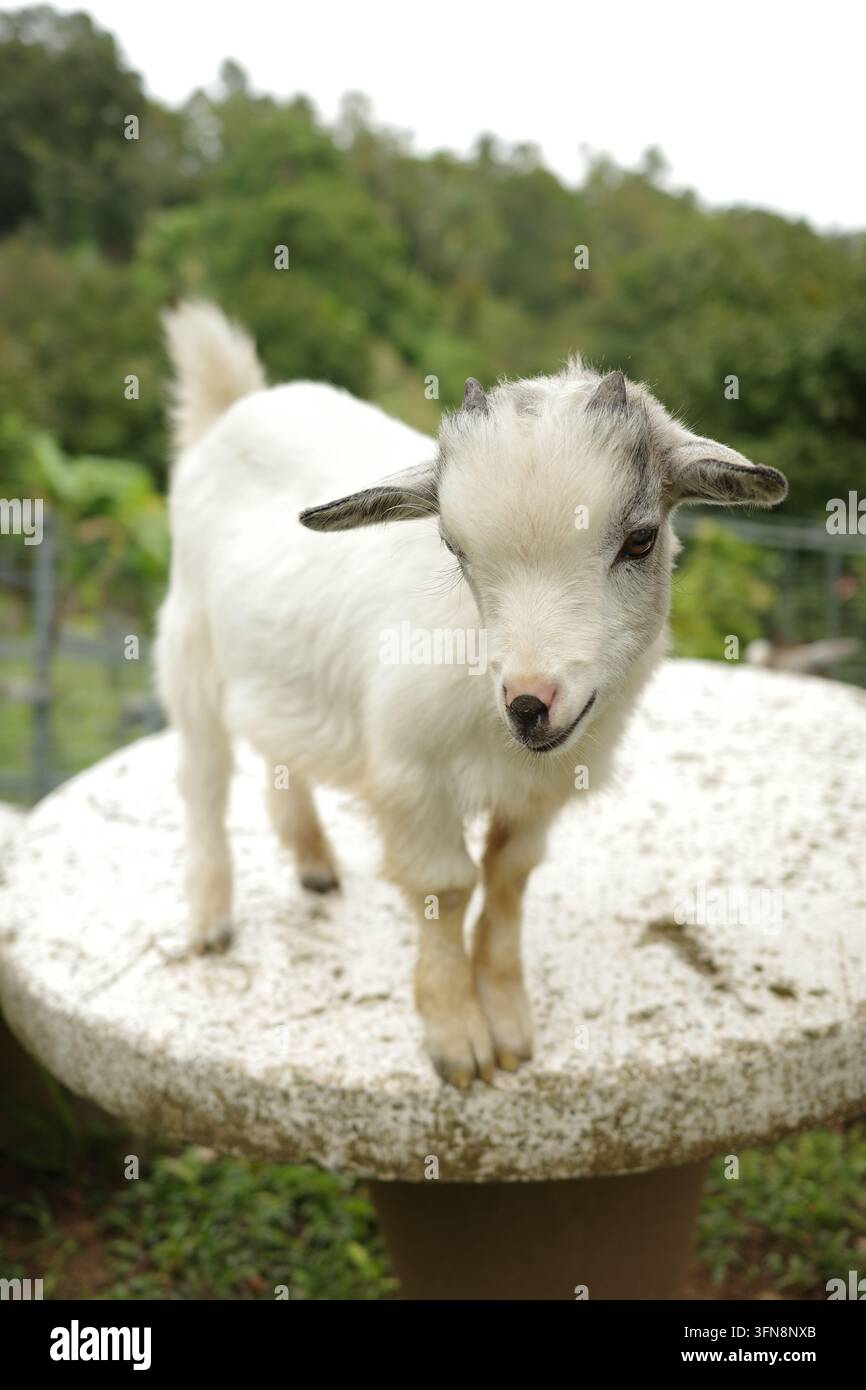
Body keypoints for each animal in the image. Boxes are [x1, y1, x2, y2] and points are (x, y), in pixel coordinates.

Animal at [155, 302, 788, 1087]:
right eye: (455, 551)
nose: (529, 703)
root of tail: (235, 405)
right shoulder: (410, 776)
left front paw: (509, 1021)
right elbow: (448, 887)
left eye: (640, 539)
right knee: (203, 777)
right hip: (189, 645)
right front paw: (458, 1039)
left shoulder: (546, 784)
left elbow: (508, 877)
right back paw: (212, 917)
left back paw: (313, 862)